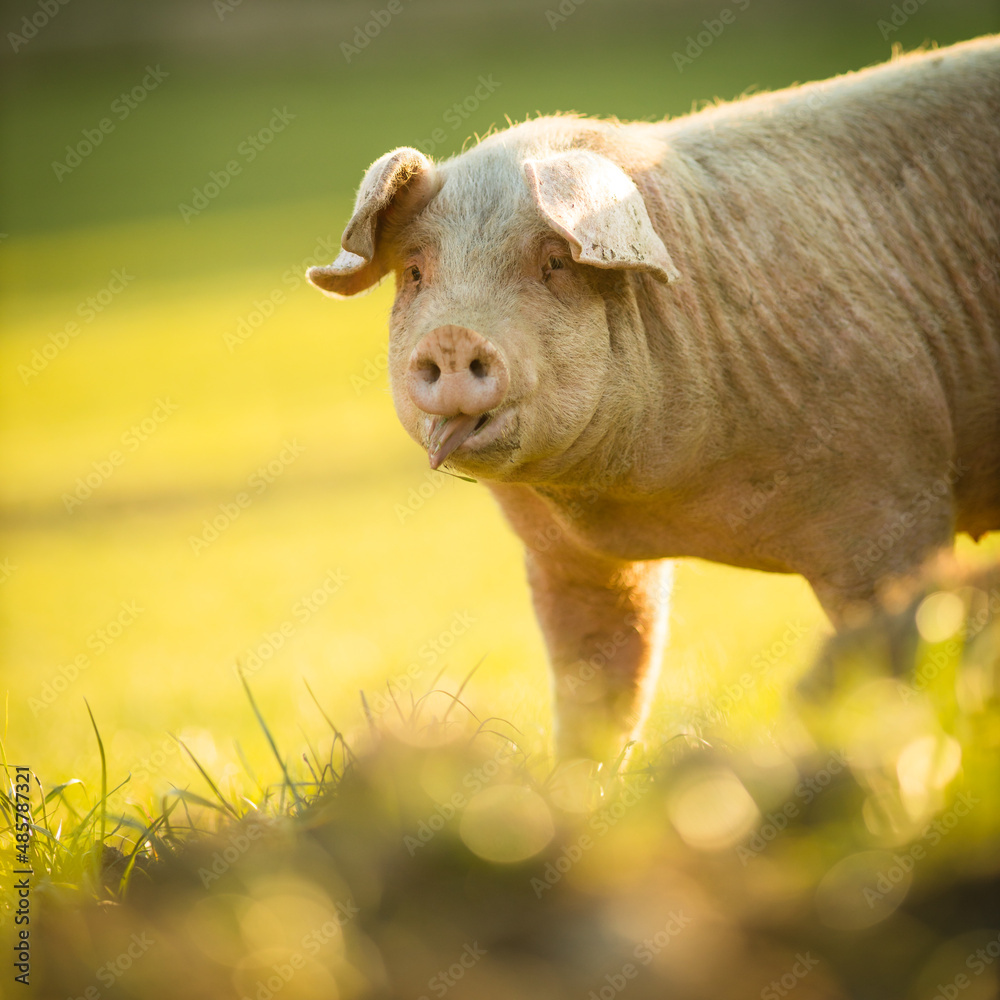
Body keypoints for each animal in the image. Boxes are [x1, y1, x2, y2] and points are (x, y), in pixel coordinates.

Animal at [308, 36, 1000, 760]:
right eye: (417, 271)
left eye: (554, 263)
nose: (451, 335)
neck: (647, 501)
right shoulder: (567, 559)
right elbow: (599, 681)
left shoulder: (895, 498)